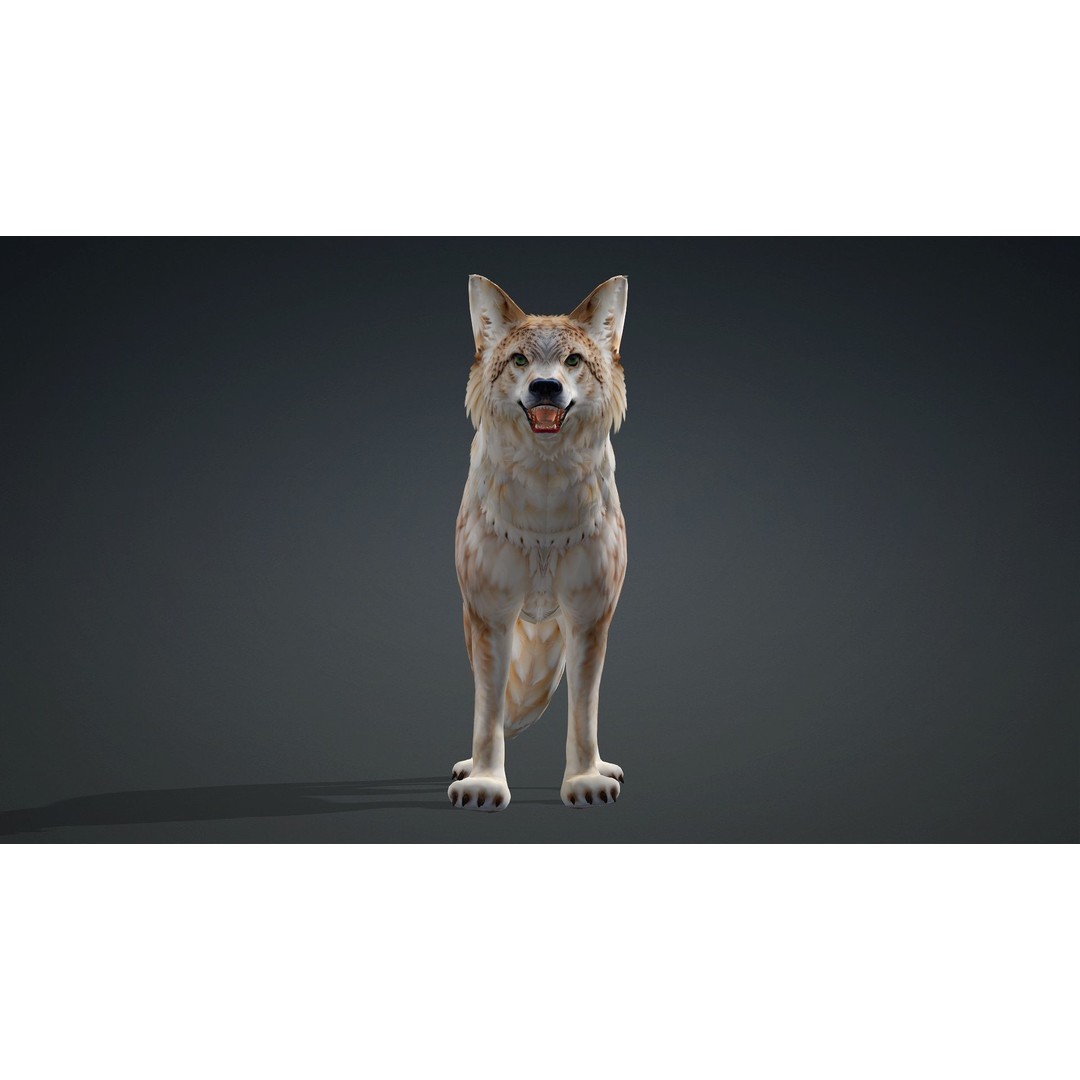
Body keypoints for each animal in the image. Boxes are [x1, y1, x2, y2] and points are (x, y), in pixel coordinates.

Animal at [448, 275, 629, 812]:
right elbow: (487, 714)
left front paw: (587, 781)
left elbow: (584, 714)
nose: (545, 387)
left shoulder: (589, 616)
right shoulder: (491, 616)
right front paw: (485, 784)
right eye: (519, 360)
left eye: (572, 360)